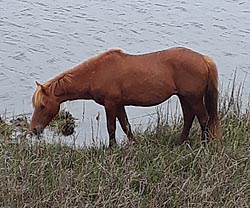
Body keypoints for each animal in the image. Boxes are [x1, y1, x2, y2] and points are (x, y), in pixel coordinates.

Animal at [29, 47, 221, 146]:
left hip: (193, 98)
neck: (95, 73)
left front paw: (111, 149)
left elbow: (112, 127)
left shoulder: (110, 104)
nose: (34, 130)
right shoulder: (119, 104)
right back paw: (180, 143)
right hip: (184, 97)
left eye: (43, 106)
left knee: (203, 119)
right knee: (189, 118)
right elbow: (125, 125)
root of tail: (203, 59)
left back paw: (203, 146)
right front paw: (134, 145)